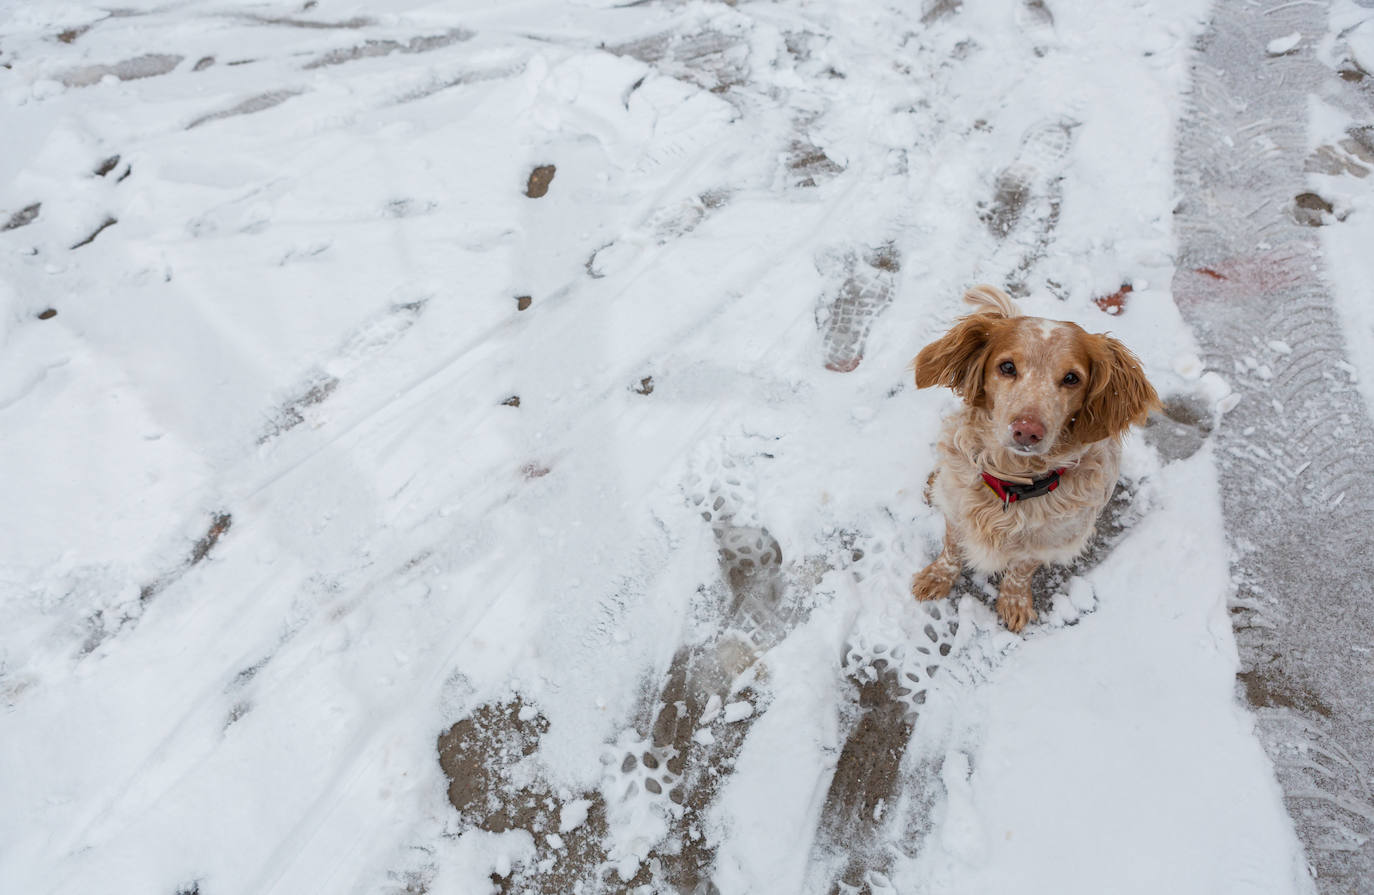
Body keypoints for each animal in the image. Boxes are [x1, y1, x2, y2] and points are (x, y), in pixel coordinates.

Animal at [912, 285, 1159, 629]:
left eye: (1071, 378)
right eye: (1007, 367)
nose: (1027, 431)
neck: (1012, 484)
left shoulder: (1050, 540)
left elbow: (1021, 569)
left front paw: (1013, 602)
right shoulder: (956, 510)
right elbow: (951, 550)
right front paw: (936, 578)